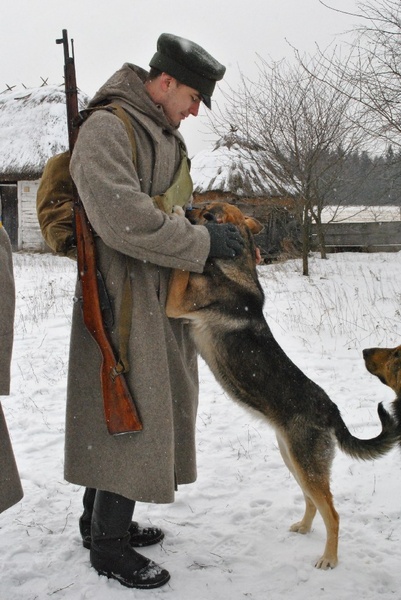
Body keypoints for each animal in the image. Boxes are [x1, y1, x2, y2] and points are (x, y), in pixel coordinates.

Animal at [166, 200, 396, 568]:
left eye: (204, 211)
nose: (187, 205)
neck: (234, 262)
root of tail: (332, 411)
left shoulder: (177, 305)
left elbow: (181, 272)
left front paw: (175, 216)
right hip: (293, 460)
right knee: (313, 502)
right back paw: (304, 527)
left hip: (305, 465)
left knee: (333, 513)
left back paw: (329, 558)